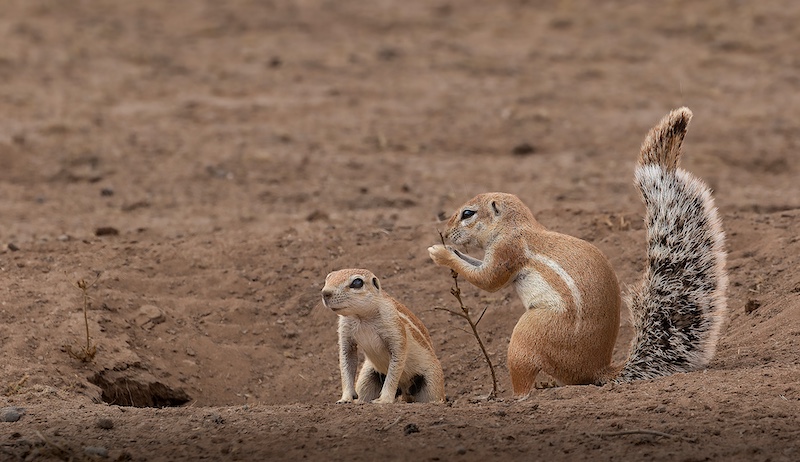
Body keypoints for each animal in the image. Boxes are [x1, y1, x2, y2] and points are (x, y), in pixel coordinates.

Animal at [321, 268, 446, 404]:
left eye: (357, 282)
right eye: (328, 278)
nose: (325, 293)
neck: (362, 318)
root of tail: (405, 391)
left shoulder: (394, 327)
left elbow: (396, 364)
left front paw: (384, 400)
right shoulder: (345, 331)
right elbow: (346, 359)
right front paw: (345, 398)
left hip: (432, 385)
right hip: (367, 377)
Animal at [428, 107, 728, 396]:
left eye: (468, 213)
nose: (446, 229)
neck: (515, 225)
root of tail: (597, 370)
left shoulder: (507, 250)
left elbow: (488, 280)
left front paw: (440, 252)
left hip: (529, 334)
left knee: (524, 384)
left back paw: (504, 398)